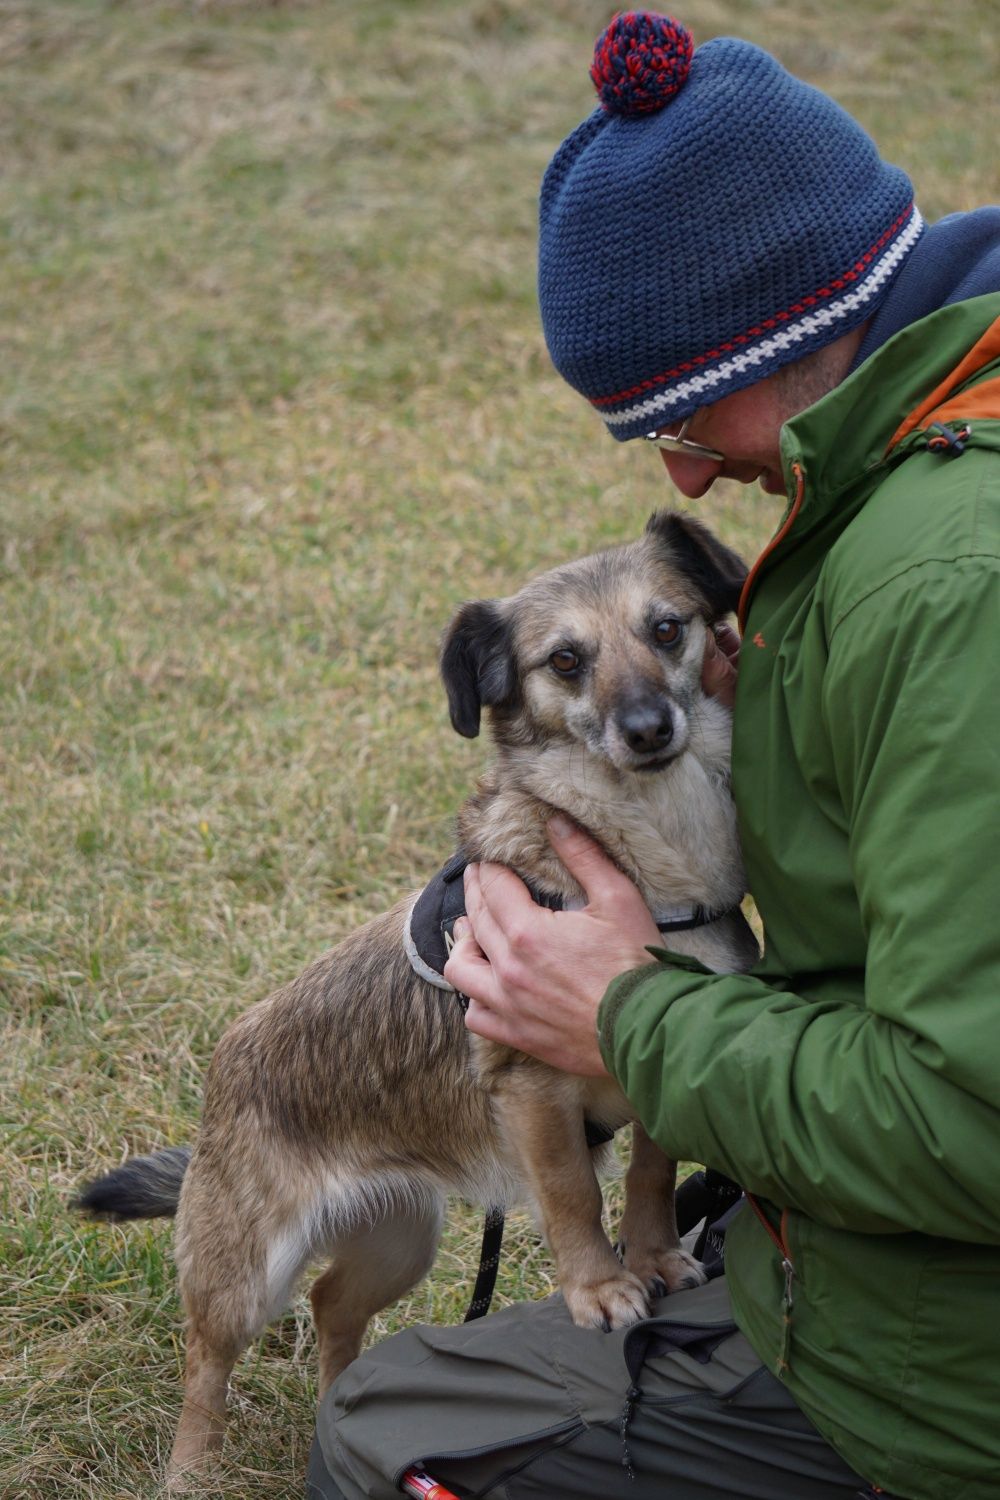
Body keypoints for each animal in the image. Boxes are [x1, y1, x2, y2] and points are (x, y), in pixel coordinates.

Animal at [78, 510, 758, 1482]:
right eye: (565, 661)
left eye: (667, 629)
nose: (646, 727)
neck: (648, 858)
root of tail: (226, 1064)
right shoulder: (532, 1092)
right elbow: (574, 1197)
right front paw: (598, 1289)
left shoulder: (664, 1055)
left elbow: (652, 1175)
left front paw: (659, 1255)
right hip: (246, 1273)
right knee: (205, 1359)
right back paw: (189, 1472)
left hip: (398, 1240)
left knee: (332, 1308)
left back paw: (329, 1419)